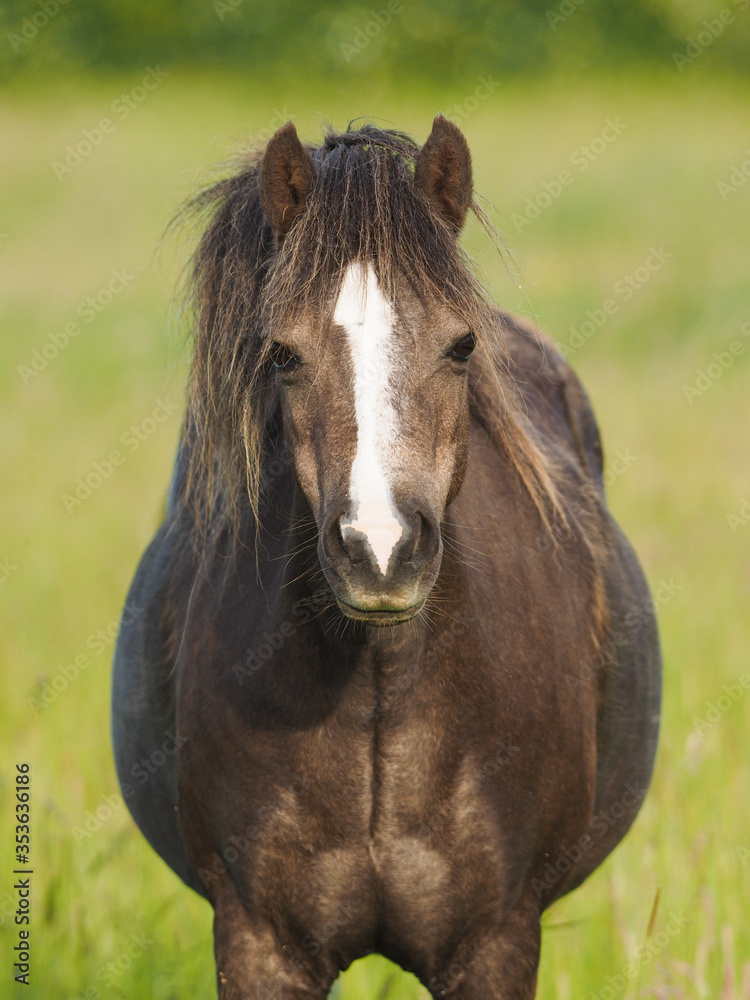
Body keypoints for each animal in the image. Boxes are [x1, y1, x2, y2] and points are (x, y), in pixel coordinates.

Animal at [111, 116, 661, 999]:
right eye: (282, 354)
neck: (379, 690)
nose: (381, 550)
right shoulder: (260, 943)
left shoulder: (496, 942)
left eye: (461, 346)